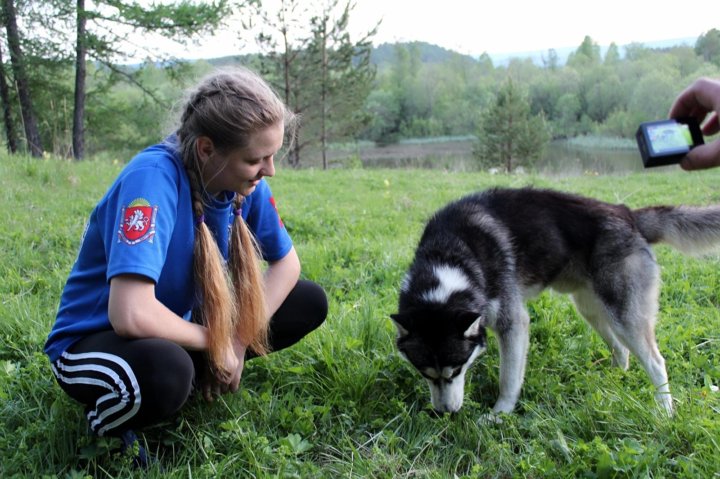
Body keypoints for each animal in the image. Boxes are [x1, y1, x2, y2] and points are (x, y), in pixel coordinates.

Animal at [390, 188, 720, 416]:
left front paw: (499, 414)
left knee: (655, 361)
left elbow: (509, 378)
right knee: (622, 350)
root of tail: (626, 213)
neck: (450, 255)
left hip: (624, 314)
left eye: (456, 371)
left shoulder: (514, 323)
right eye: (424, 374)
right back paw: (613, 376)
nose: (445, 413)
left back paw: (664, 410)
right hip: (591, 308)